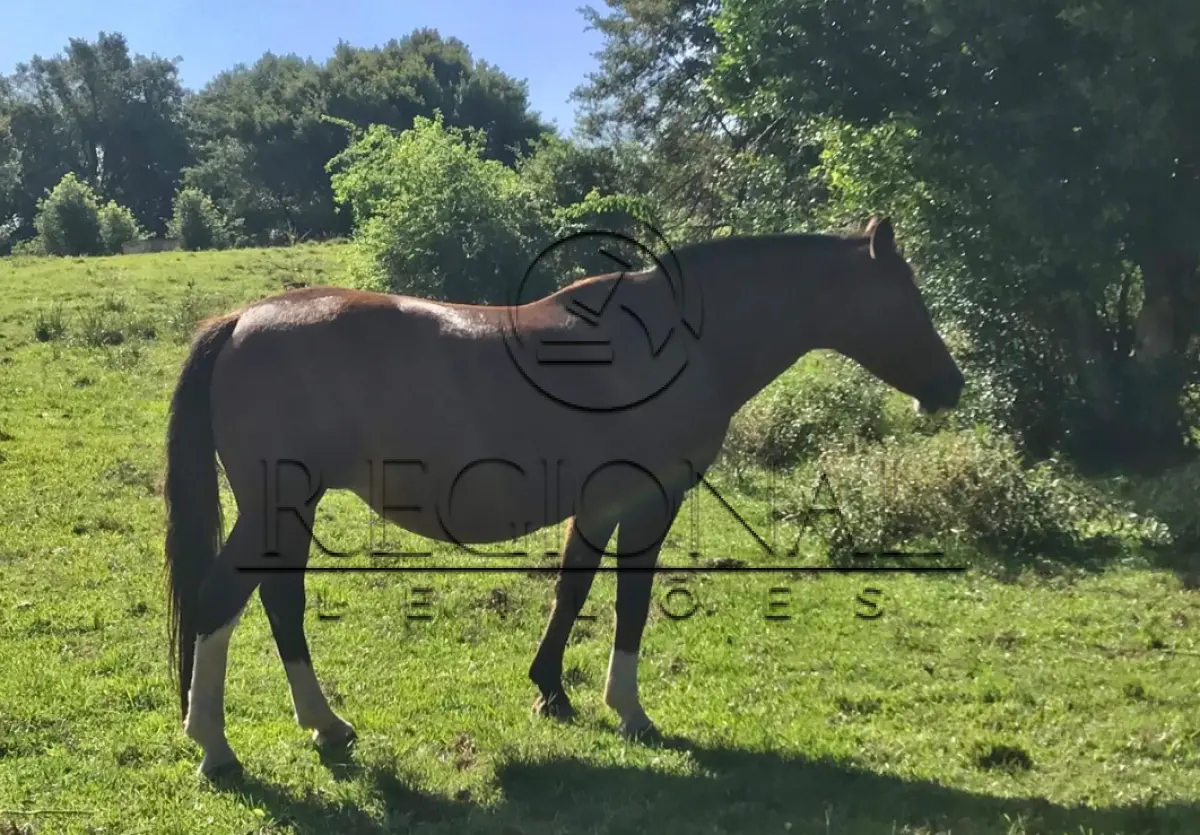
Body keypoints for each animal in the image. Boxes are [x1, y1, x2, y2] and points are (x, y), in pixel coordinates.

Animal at [164, 216, 964, 777]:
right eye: (905, 298)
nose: (951, 386)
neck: (676, 344)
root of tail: (240, 321)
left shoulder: (599, 505)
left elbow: (571, 591)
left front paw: (550, 689)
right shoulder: (649, 502)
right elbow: (630, 603)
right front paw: (630, 710)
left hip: (289, 510)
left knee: (279, 604)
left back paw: (324, 725)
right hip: (276, 505)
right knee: (220, 602)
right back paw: (217, 748)